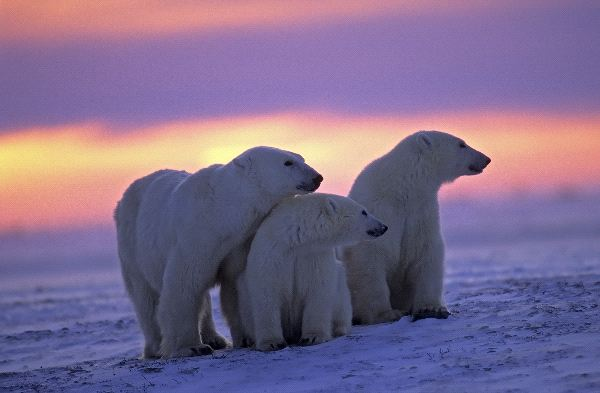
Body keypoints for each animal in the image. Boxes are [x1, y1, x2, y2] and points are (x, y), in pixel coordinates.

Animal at [114, 145, 322, 356]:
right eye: (288, 162)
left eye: (301, 158)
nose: (317, 177)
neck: (221, 213)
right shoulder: (195, 237)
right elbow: (183, 285)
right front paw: (192, 347)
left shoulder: (239, 242)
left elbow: (235, 284)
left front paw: (246, 338)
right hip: (133, 246)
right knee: (145, 297)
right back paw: (156, 347)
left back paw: (215, 339)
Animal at [237, 193, 386, 350]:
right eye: (364, 212)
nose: (383, 227)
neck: (296, 241)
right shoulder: (272, 253)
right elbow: (267, 293)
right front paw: (271, 342)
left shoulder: (315, 255)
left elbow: (318, 291)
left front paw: (312, 337)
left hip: (341, 289)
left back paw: (339, 329)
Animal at [340, 130, 490, 324]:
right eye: (461, 144)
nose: (486, 159)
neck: (402, 189)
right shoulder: (380, 211)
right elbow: (370, 257)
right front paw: (386, 314)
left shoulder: (421, 212)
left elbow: (426, 251)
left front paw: (431, 308)